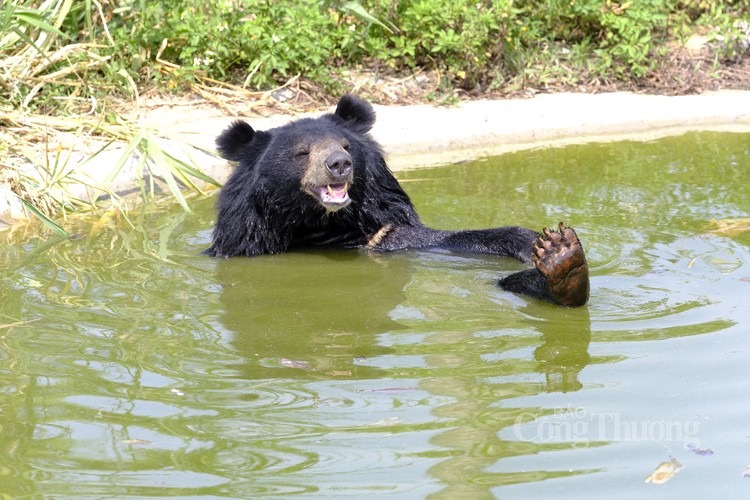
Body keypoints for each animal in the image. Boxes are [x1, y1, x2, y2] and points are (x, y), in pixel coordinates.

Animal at [207, 93, 592, 304]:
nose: (339, 164)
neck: (317, 222)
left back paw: (564, 268)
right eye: (302, 153)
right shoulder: (248, 238)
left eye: (346, 146)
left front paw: (545, 246)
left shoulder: (382, 232)